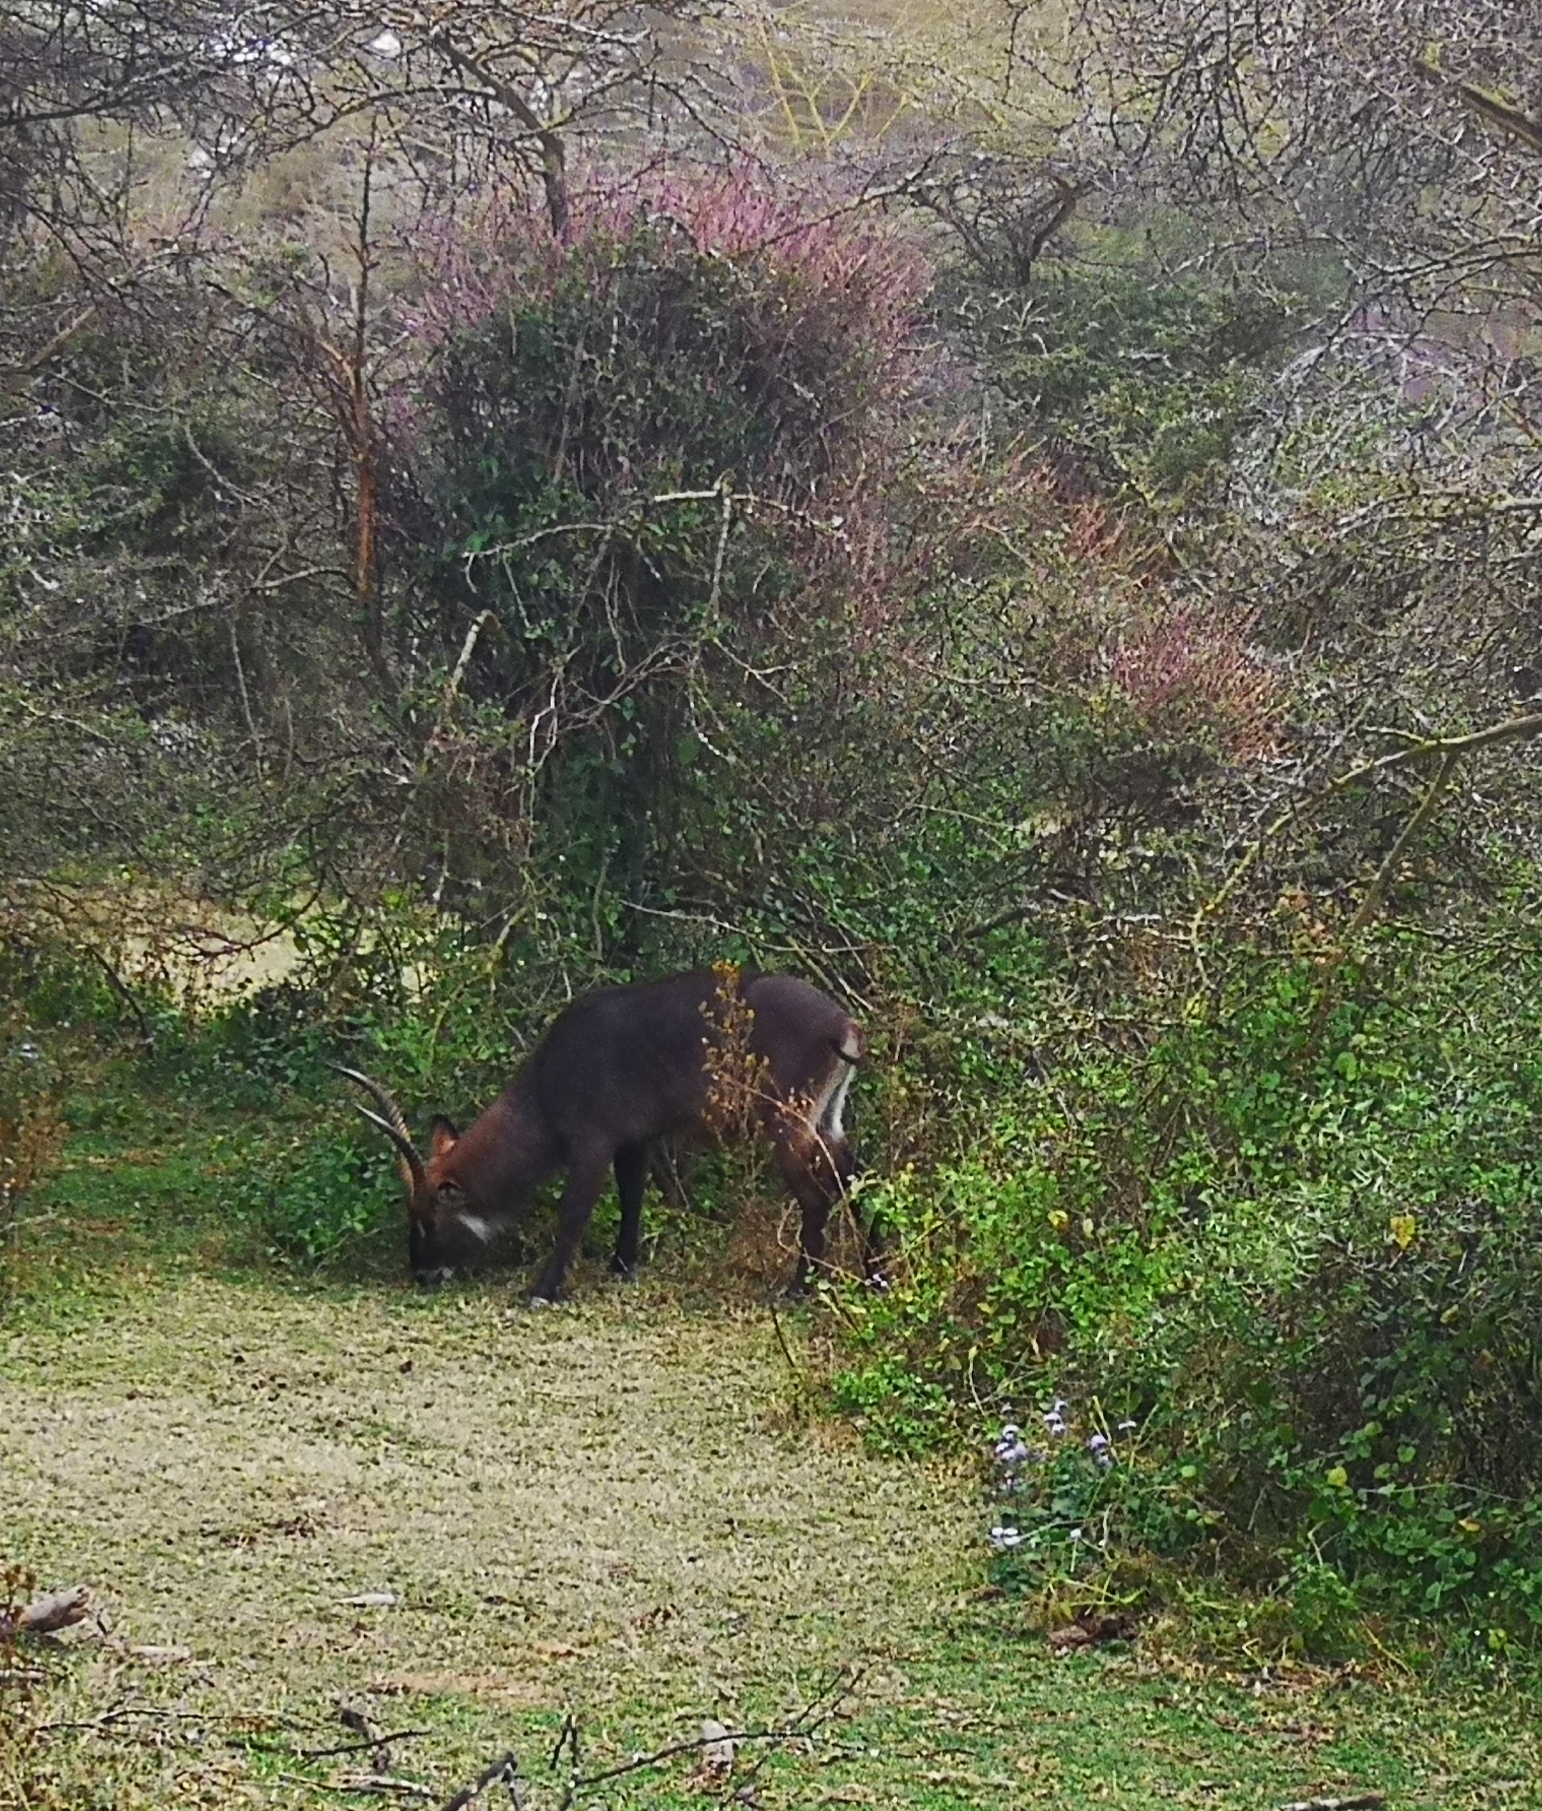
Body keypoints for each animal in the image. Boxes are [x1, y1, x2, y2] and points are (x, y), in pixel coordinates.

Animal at [337, 963, 869, 1303]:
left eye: (427, 1219)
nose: (423, 1274)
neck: (547, 1082)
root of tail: (841, 1023)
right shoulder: (634, 1141)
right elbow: (632, 1196)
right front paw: (622, 1266)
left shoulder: (591, 1142)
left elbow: (574, 1212)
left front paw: (542, 1291)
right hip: (826, 1118)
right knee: (854, 1177)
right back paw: (873, 1279)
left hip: (787, 1122)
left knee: (817, 1198)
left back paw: (797, 1290)